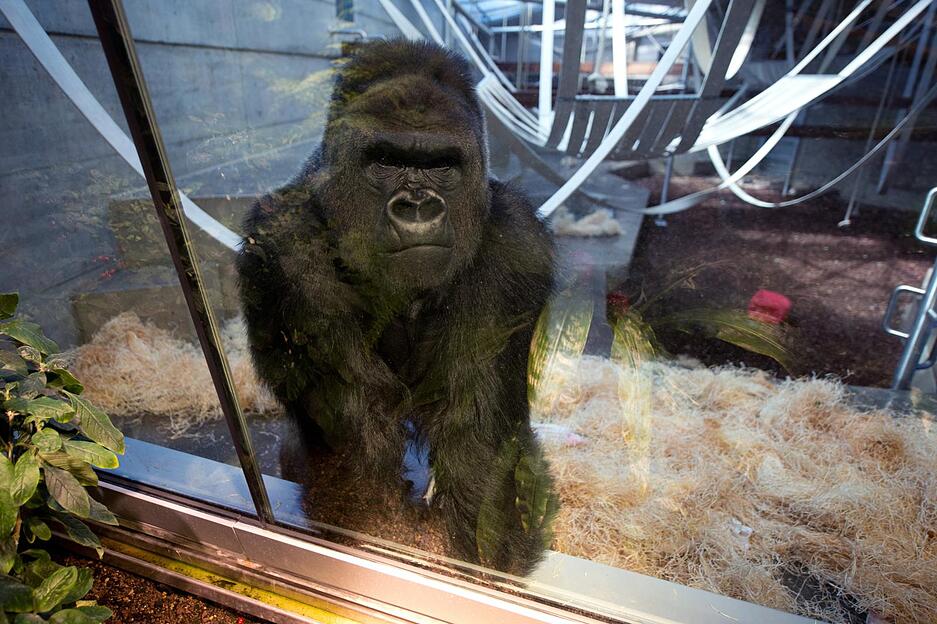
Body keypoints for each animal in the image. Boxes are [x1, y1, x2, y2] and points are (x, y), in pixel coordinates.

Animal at [237, 39, 556, 574]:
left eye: (441, 165)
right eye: (385, 160)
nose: (417, 207)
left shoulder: (516, 241)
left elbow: (480, 438)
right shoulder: (286, 247)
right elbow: (359, 440)